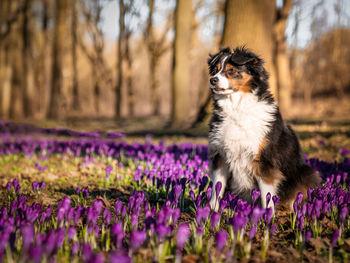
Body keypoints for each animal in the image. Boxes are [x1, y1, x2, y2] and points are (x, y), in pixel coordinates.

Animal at [208, 47, 320, 211]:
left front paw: (267, 215)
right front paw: (211, 209)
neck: (237, 108)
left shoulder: (264, 159)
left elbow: (266, 193)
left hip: (306, 172)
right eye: (215, 70)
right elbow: (218, 186)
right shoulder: (221, 155)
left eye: (231, 70)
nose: (212, 80)